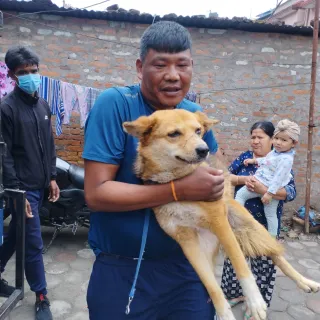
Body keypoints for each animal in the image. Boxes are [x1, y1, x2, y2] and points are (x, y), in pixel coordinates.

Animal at [122, 109, 320, 320]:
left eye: (198, 130)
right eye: (174, 134)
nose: (204, 150)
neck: (180, 183)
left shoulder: (219, 222)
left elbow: (241, 266)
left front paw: (255, 302)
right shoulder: (186, 239)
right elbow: (211, 285)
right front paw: (224, 313)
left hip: (250, 227)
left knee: (276, 255)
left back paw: (305, 282)